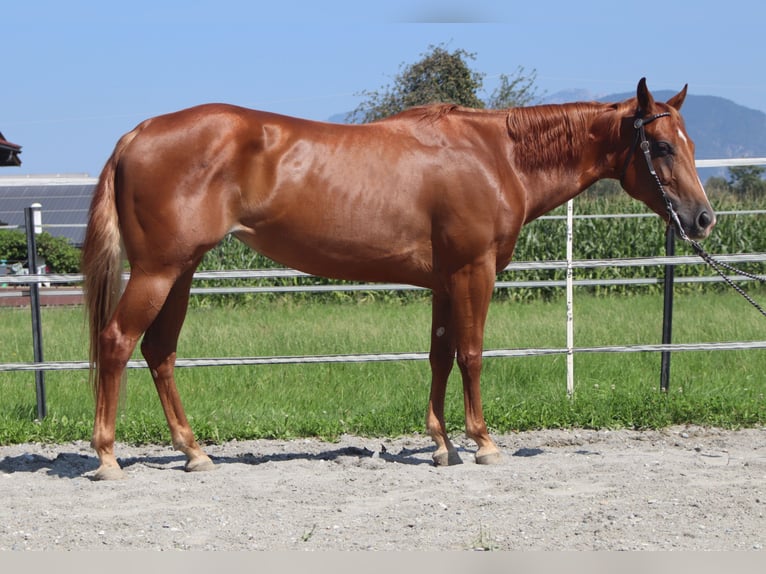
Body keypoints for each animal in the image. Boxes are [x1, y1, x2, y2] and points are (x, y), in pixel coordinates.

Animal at [82, 77, 712, 482]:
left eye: (690, 142)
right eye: (660, 146)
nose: (703, 219)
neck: (496, 156)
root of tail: (137, 134)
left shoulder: (445, 280)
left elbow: (441, 355)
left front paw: (441, 445)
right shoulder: (474, 271)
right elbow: (472, 354)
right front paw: (483, 443)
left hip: (181, 273)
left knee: (159, 352)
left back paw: (194, 453)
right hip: (159, 272)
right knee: (117, 342)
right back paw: (108, 458)